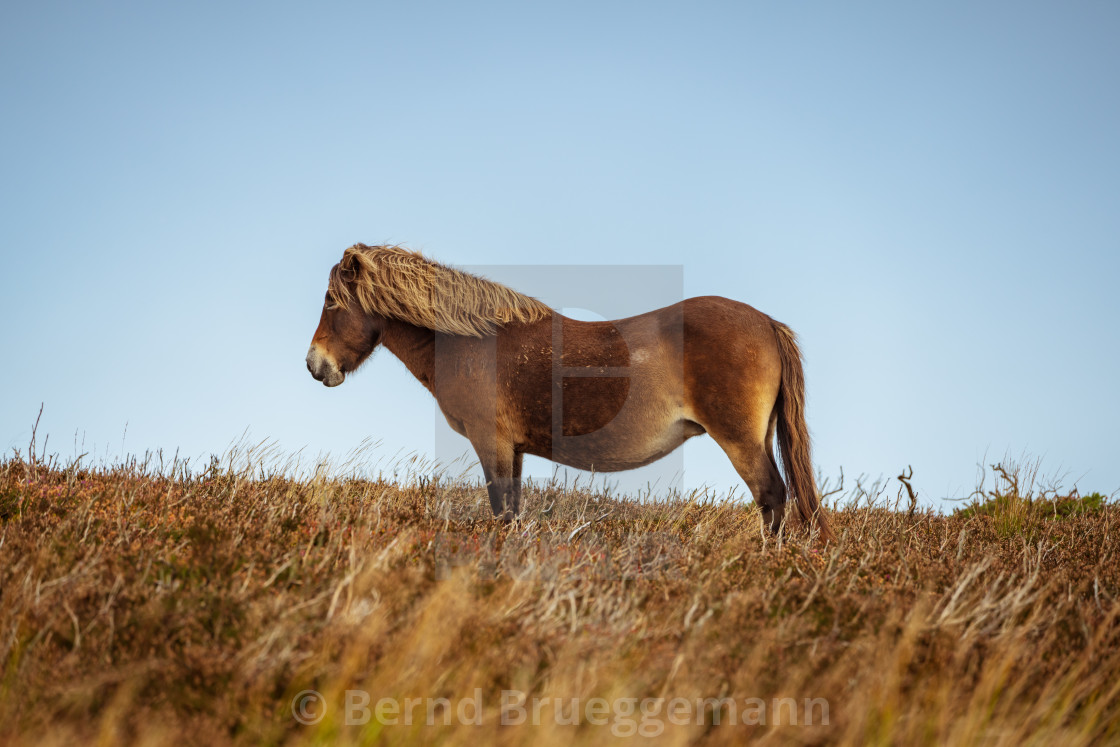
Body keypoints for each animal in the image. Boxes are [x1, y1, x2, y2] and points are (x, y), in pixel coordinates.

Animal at [306, 243, 833, 539]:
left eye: (332, 302)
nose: (315, 365)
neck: (471, 340)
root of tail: (765, 323)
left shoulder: (491, 444)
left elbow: (502, 513)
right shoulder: (513, 450)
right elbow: (513, 513)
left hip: (741, 440)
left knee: (772, 496)